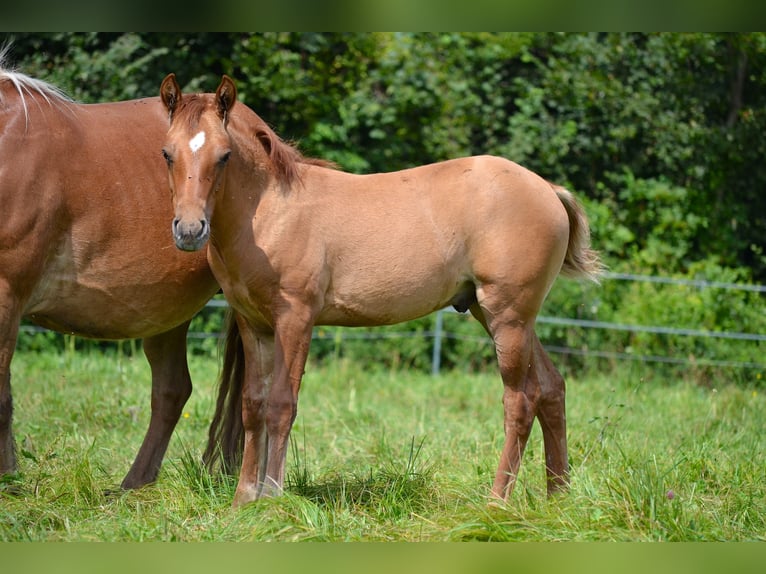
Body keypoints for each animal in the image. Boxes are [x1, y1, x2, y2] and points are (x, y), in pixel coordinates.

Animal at [0, 57, 244, 490]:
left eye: (224, 157)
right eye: (165, 155)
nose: (190, 228)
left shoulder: (7, 292)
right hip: (167, 312)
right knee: (171, 392)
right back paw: (135, 484)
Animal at [160, 73, 608, 508]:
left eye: (224, 155)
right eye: (167, 153)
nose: (189, 230)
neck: (272, 212)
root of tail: (549, 189)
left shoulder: (296, 318)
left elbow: (281, 405)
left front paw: (272, 497)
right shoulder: (254, 323)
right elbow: (253, 405)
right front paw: (243, 500)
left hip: (508, 317)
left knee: (521, 399)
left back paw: (496, 502)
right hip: (500, 315)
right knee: (552, 388)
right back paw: (557, 498)